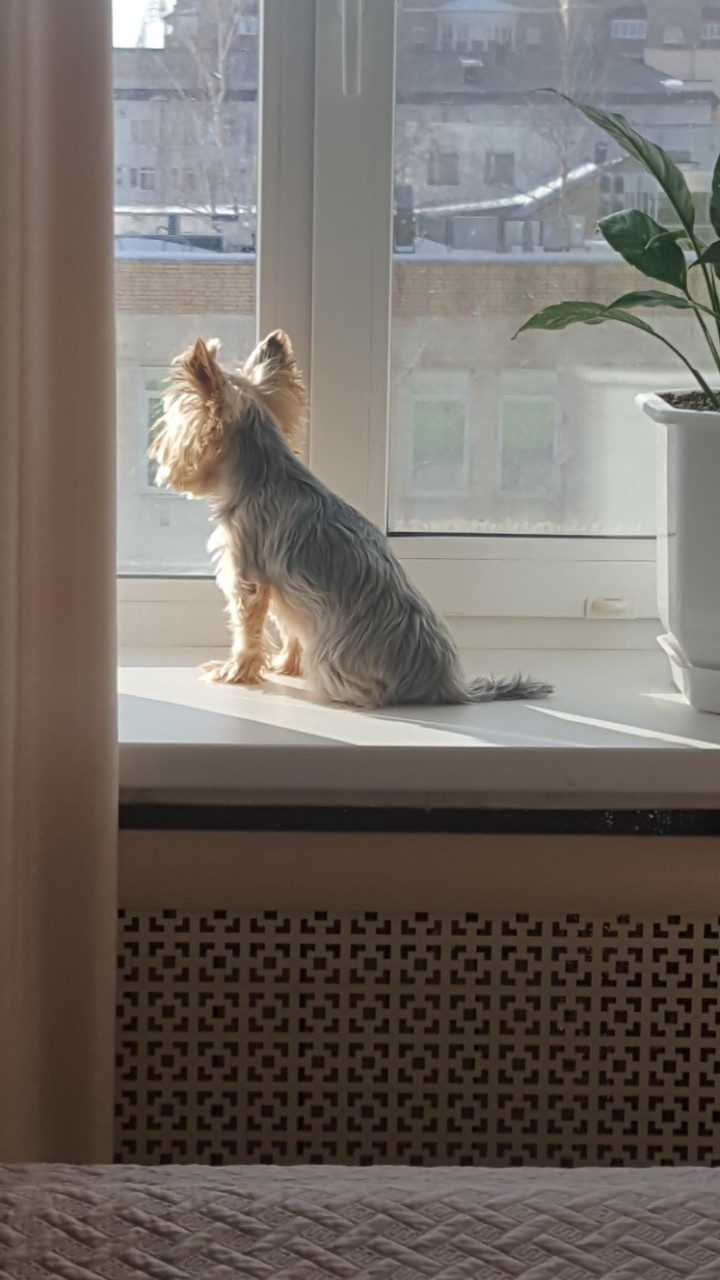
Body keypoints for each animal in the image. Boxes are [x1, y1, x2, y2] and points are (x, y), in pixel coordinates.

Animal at [147, 330, 548, 711]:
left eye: (173, 424)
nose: (158, 454)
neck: (263, 472)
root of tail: (449, 684)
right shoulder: (286, 592)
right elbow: (291, 628)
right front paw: (286, 665)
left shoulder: (247, 574)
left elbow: (247, 629)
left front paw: (235, 671)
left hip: (333, 661)